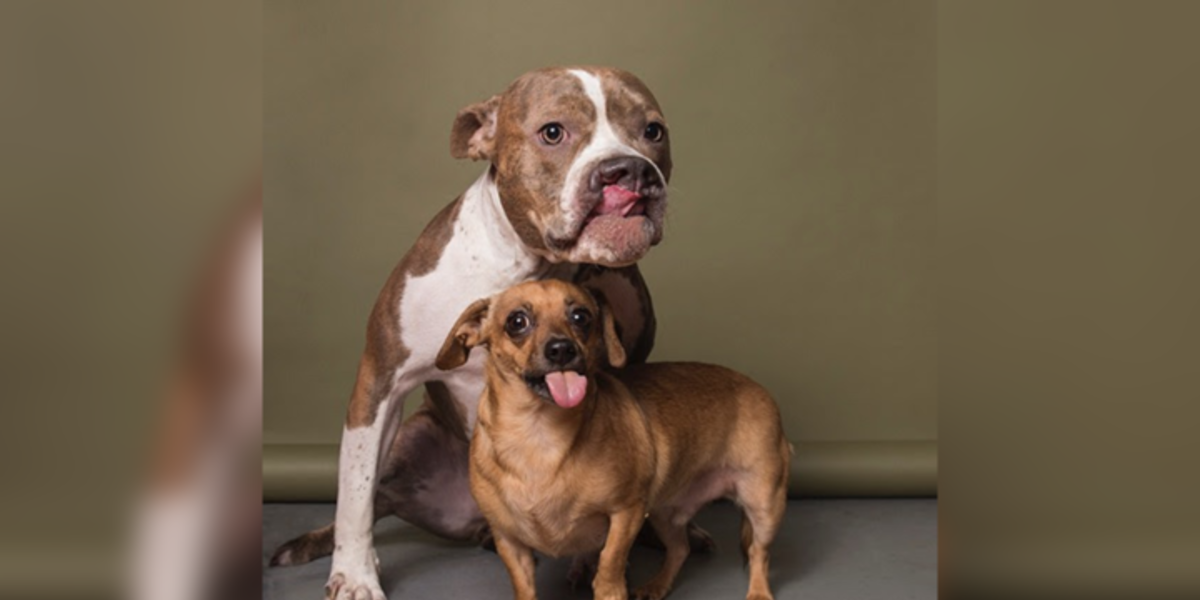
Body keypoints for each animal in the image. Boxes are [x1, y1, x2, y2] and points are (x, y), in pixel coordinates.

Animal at [267, 65, 705, 600]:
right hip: (413, 441)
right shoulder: (381, 379)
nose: (631, 171)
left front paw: (592, 558)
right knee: (377, 494)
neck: (532, 267)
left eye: (653, 131)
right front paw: (354, 575)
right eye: (553, 132)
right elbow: (355, 492)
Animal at [436, 280, 792, 600]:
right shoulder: (509, 541)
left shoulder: (626, 513)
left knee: (759, 554)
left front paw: (608, 587)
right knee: (680, 548)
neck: (539, 435)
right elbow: (524, 587)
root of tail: (756, 387)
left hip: (764, 506)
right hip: (664, 513)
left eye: (581, 317)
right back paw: (656, 586)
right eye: (517, 321)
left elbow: (609, 564)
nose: (562, 349)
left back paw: (758, 592)